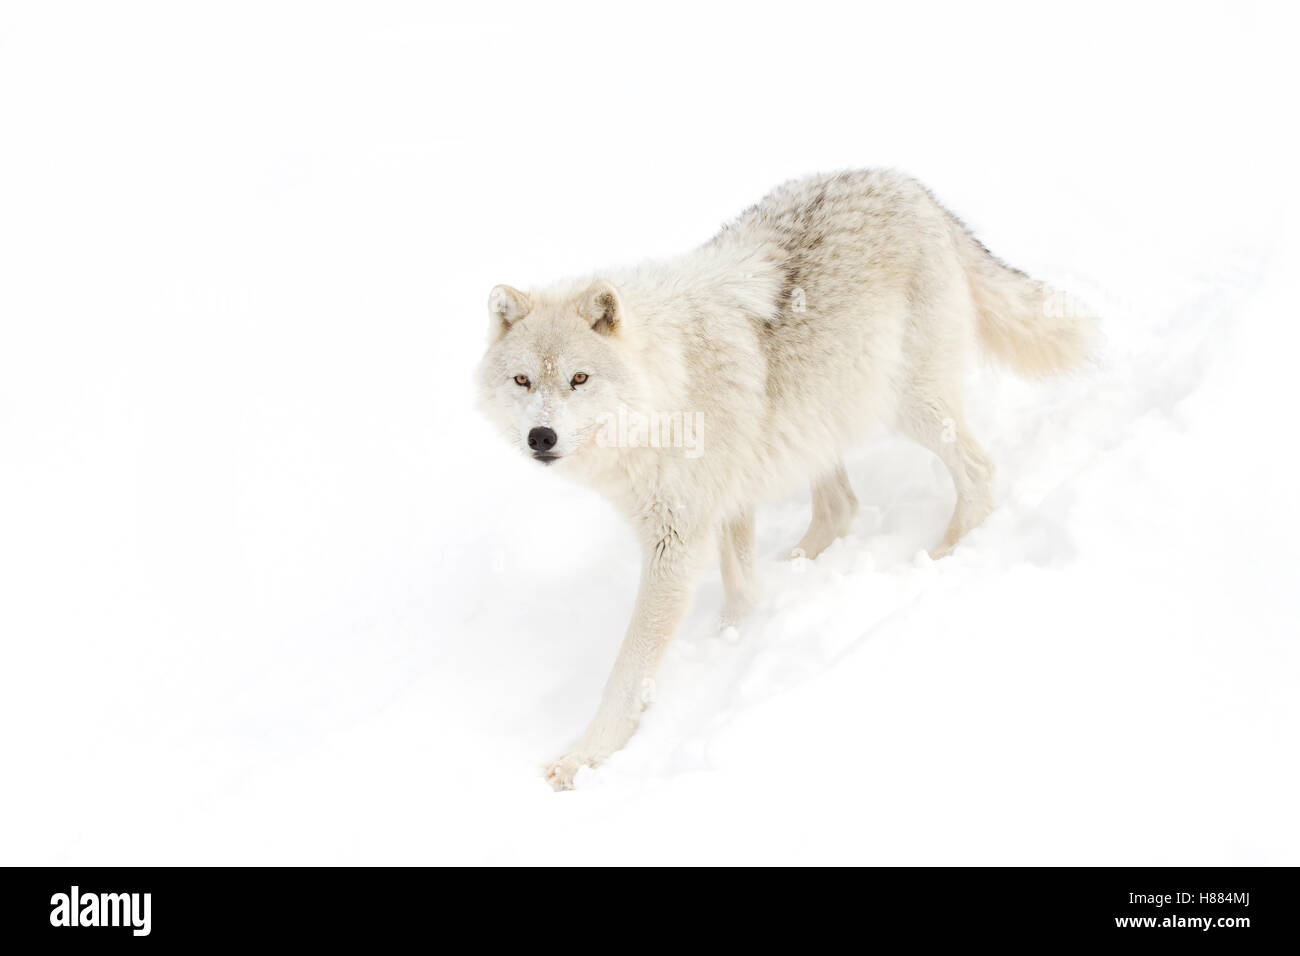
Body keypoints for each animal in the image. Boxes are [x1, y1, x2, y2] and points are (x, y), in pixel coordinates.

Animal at [478, 167, 1086, 790]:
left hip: (904, 403)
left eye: (579, 378)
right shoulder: (723, 504)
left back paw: (944, 555)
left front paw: (585, 757)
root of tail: (909, 186)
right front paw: (733, 640)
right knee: (842, 506)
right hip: (822, 416)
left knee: (980, 471)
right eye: (524, 380)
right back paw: (801, 566)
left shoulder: (677, 539)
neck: (669, 386)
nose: (541, 436)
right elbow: (742, 591)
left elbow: (629, 670)